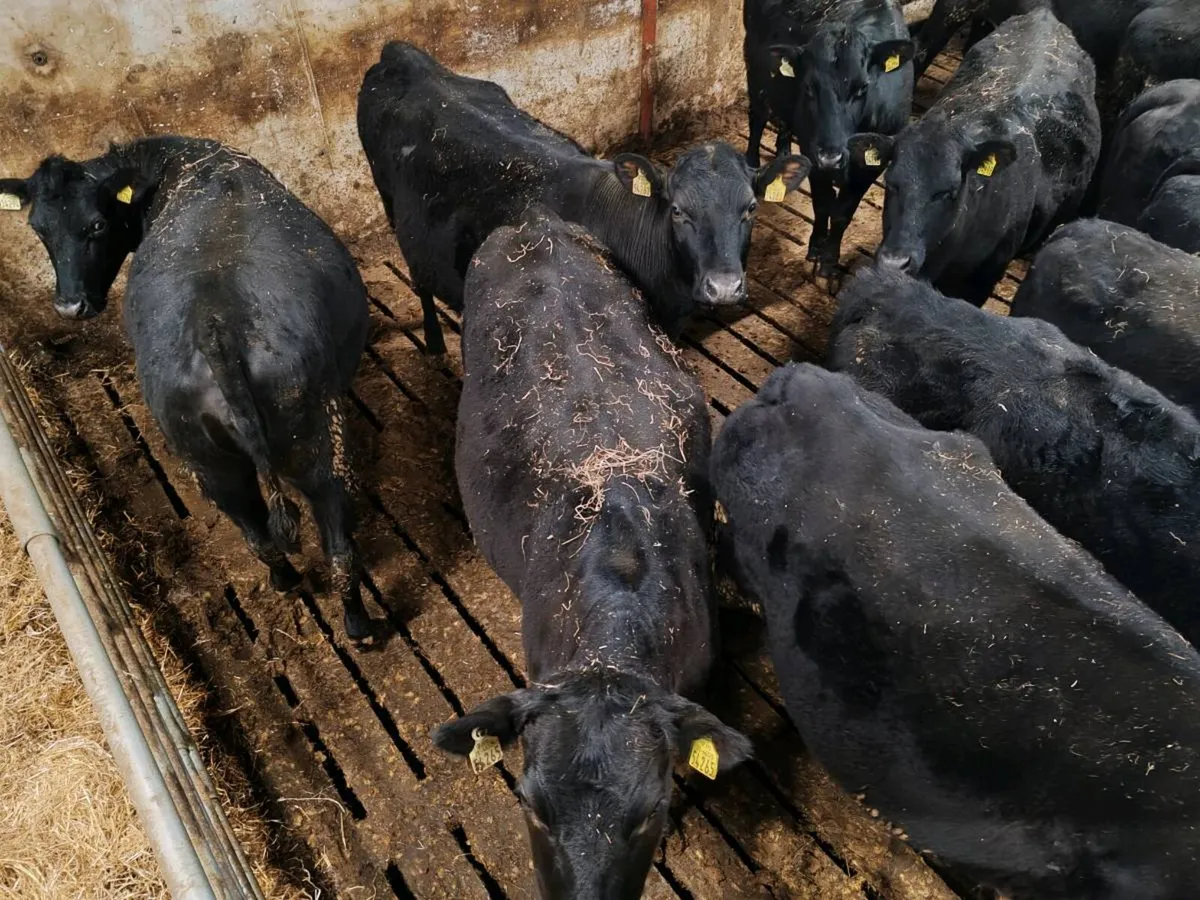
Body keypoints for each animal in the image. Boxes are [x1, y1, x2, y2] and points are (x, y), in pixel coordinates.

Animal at [0, 138, 373, 640]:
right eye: (39, 229)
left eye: (96, 225)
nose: (70, 305)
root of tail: (217, 326)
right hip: (287, 445)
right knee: (314, 538)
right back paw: (341, 613)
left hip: (228, 457)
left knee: (280, 536)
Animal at [357, 41, 811, 357]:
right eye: (679, 211)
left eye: (750, 208)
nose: (724, 287)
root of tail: (404, 54)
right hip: (388, 200)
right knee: (419, 279)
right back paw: (435, 343)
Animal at [743, 0, 914, 283]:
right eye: (809, 87)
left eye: (862, 88)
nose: (830, 157)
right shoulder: (812, 148)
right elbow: (822, 203)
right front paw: (815, 248)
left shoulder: (872, 163)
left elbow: (843, 212)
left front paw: (830, 259)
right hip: (755, 68)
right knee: (757, 115)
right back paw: (752, 159)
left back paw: (783, 149)